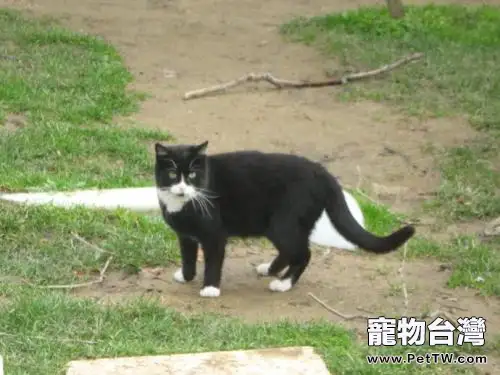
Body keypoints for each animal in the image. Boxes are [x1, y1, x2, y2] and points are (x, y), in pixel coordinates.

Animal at [155, 142, 414, 300]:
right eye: (172, 174)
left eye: (192, 175)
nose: (182, 189)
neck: (182, 204)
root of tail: (322, 172)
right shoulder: (185, 236)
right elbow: (188, 257)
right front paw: (186, 276)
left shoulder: (215, 235)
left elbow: (213, 262)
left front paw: (210, 288)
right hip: (282, 225)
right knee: (292, 251)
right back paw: (270, 270)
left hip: (284, 224)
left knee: (304, 253)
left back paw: (284, 283)